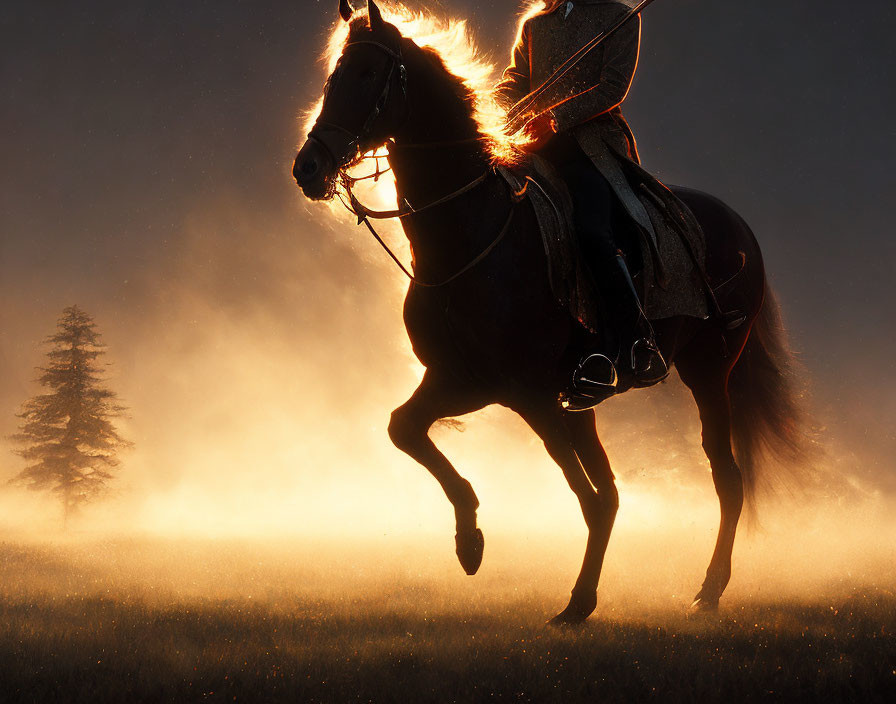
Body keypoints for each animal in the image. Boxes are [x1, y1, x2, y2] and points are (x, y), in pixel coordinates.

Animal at [294, 1, 812, 628]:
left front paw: (569, 598)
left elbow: (585, 496)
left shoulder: (526, 392)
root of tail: (736, 224)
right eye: (335, 75)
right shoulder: (462, 381)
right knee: (619, 491)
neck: (470, 234)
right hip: (587, 397)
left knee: (724, 480)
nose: (308, 167)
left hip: (709, 373)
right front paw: (471, 543)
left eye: (368, 74)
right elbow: (404, 428)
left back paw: (709, 591)